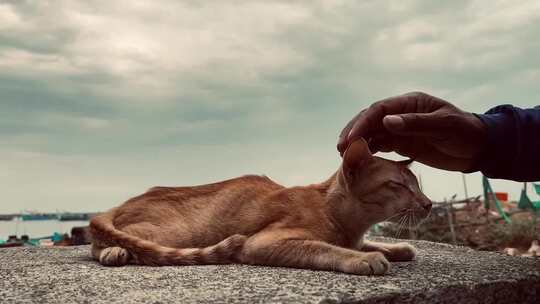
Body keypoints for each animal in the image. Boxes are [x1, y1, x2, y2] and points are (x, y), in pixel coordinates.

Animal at [90, 140, 432, 276]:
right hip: (177, 233)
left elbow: (369, 243)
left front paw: (398, 248)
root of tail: (120, 203)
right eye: (398, 185)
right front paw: (364, 258)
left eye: (417, 184)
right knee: (104, 241)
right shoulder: (262, 242)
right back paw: (114, 251)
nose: (428, 204)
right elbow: (326, 248)